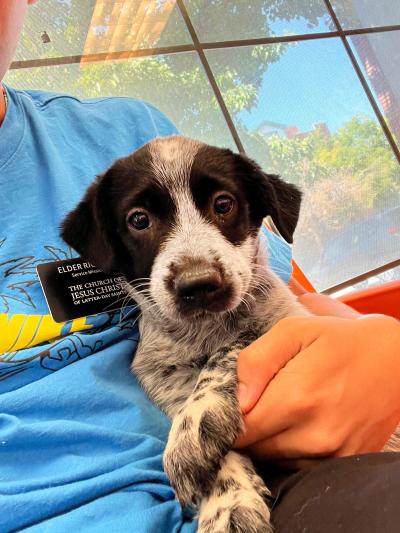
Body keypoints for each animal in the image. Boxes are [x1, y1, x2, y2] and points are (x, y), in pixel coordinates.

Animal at [61, 135, 306, 528]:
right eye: (139, 219)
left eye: (223, 203)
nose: (199, 284)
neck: (202, 331)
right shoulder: (164, 380)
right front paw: (227, 504)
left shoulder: (281, 319)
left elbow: (230, 348)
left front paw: (194, 424)